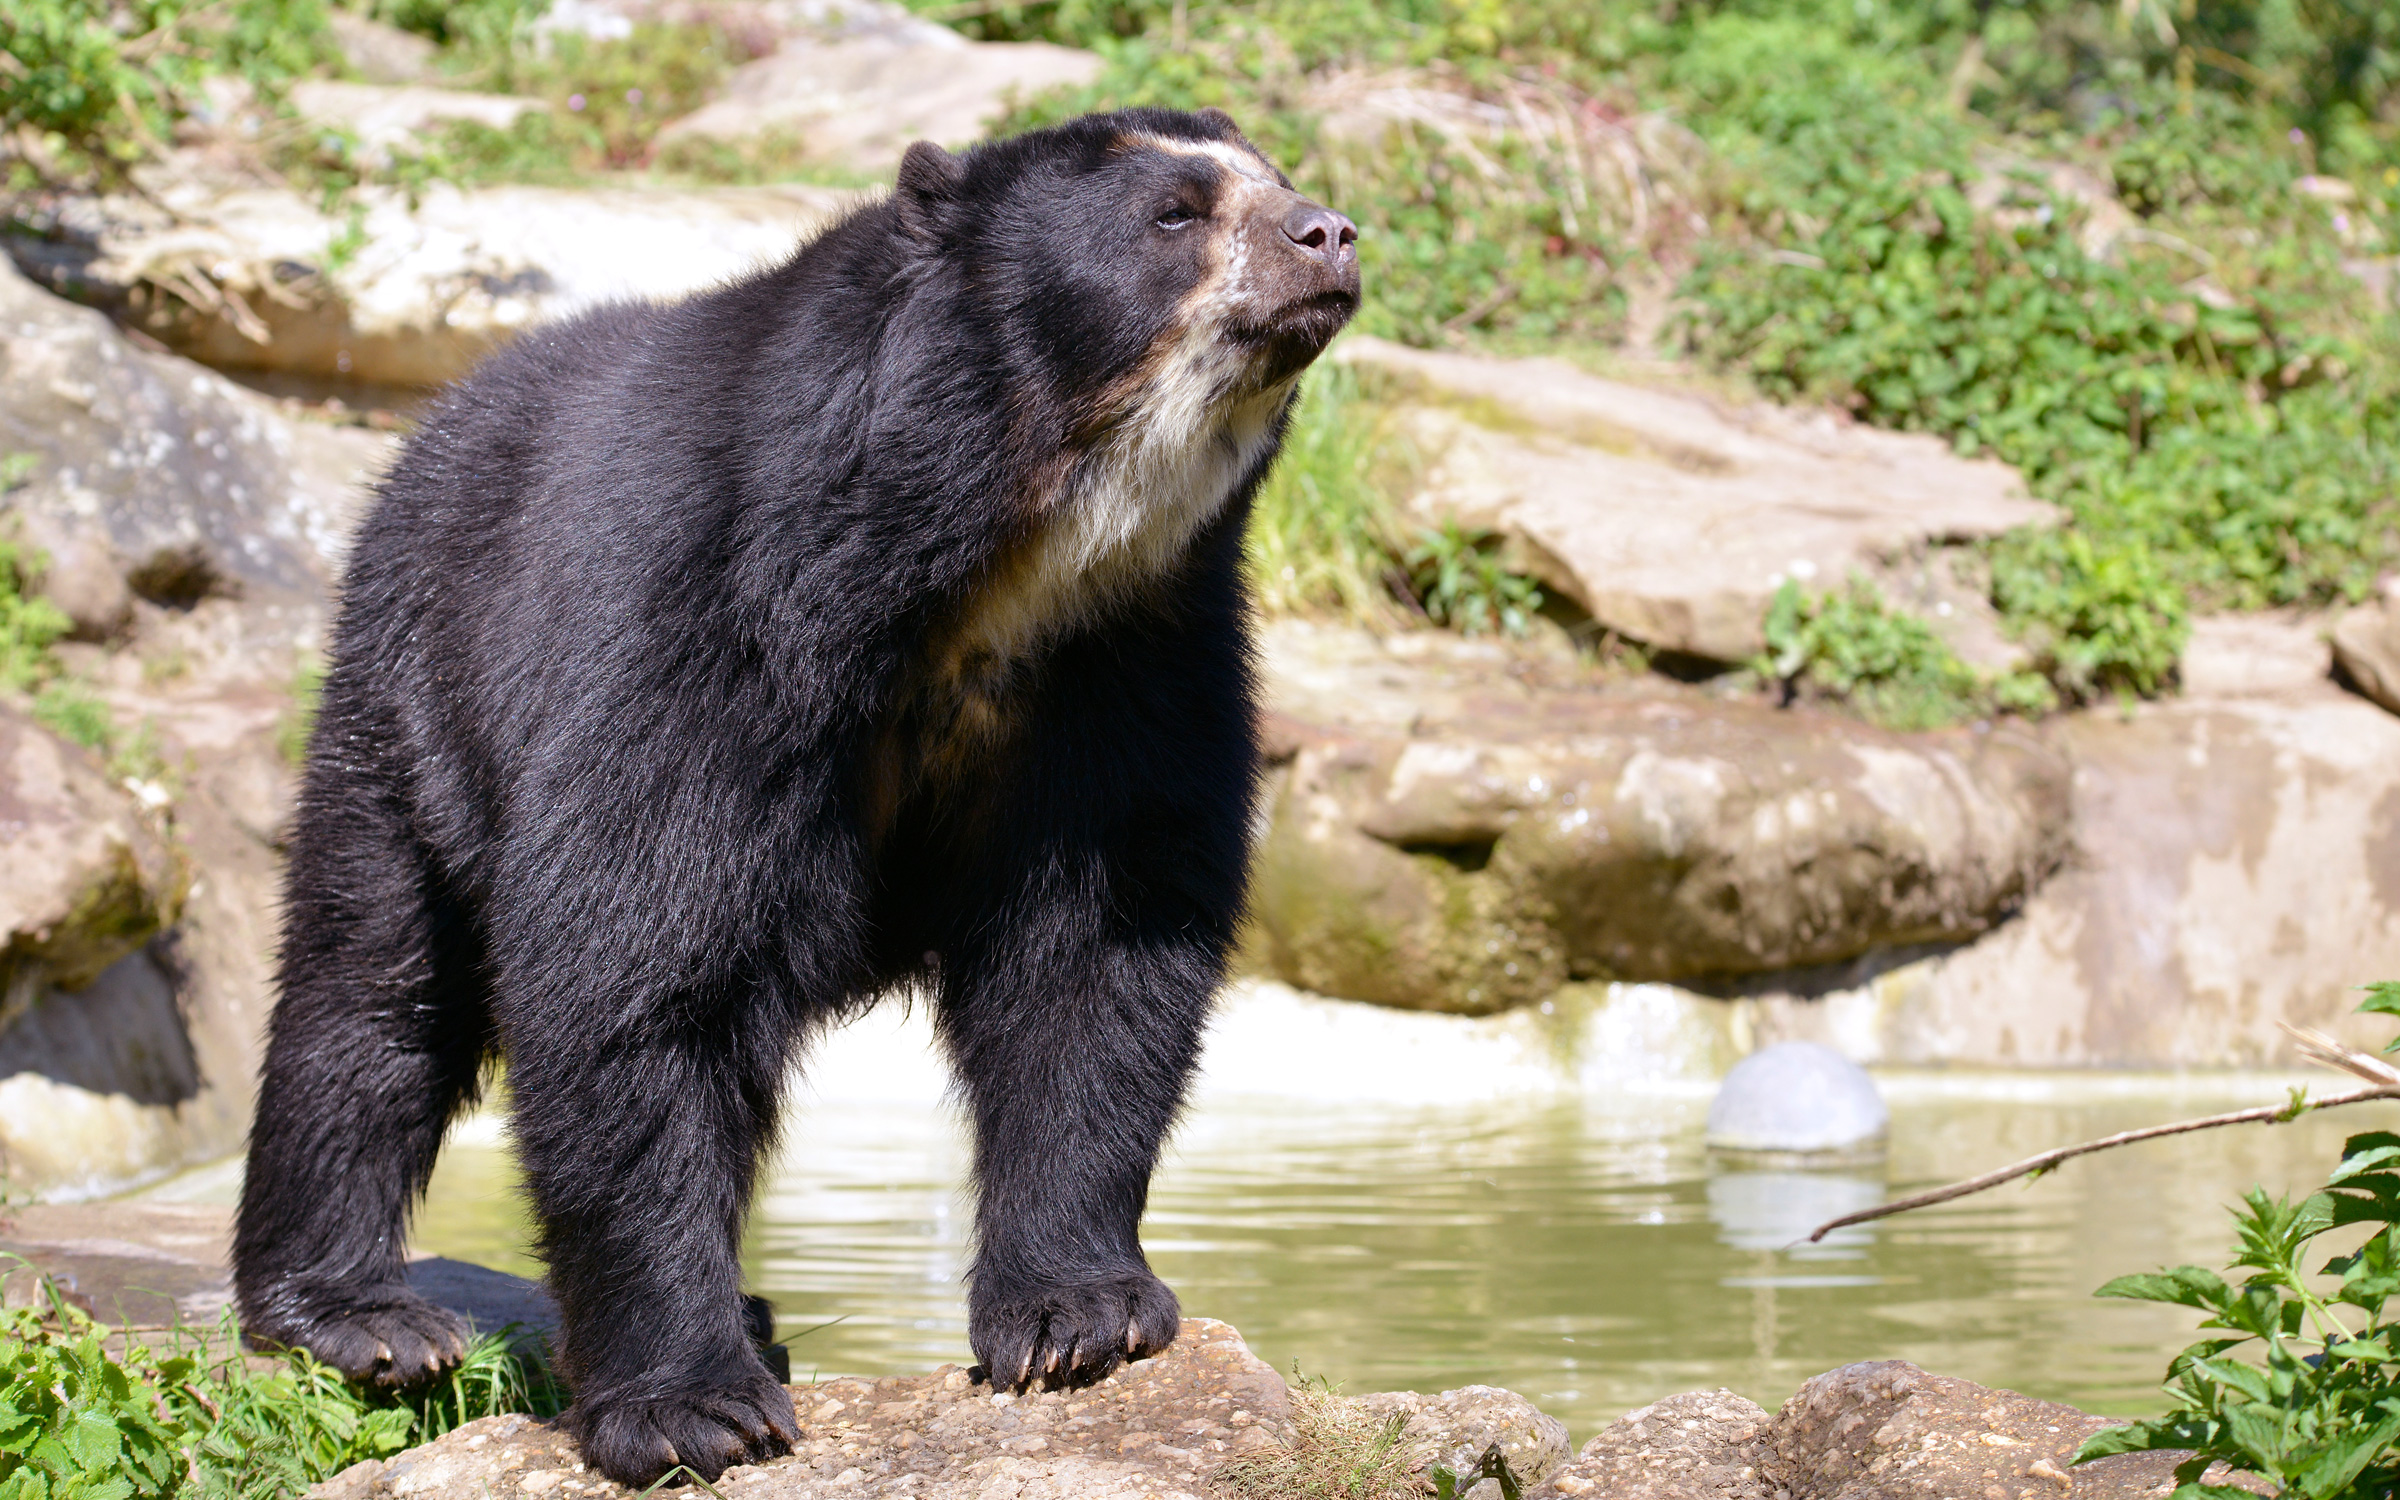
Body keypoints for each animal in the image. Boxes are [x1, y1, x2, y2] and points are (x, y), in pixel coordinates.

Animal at [230, 106, 1359, 1486]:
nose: (1329, 234)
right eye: (1176, 213)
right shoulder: (702, 610)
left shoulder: (1135, 657)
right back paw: (359, 1314)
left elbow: (1098, 950)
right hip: (416, 681)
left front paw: (1076, 1319)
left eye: (1278, 182)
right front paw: (693, 1408)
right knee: (374, 981)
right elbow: (635, 964)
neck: (1001, 550)